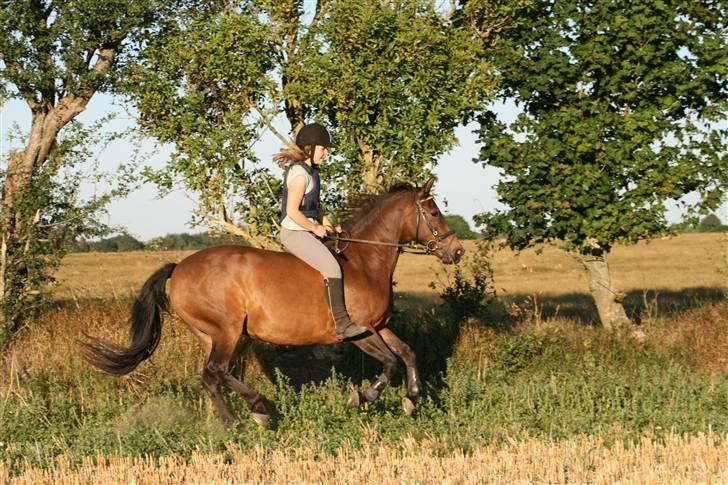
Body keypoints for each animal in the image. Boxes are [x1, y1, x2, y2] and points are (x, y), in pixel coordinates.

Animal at [82, 176, 464, 426]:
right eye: (433, 213)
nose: (457, 251)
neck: (365, 261)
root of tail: (180, 267)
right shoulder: (360, 332)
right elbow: (389, 363)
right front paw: (362, 398)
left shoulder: (380, 327)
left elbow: (407, 354)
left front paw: (411, 399)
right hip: (226, 330)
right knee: (215, 372)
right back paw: (251, 413)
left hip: (210, 334)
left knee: (212, 376)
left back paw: (242, 417)